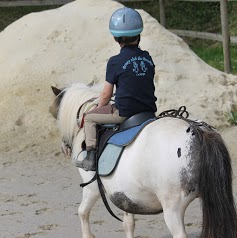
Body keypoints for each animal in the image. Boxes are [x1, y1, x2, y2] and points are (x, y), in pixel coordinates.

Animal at [50, 82, 237, 237]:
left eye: (55, 115)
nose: (64, 147)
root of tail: (198, 130)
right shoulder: (125, 194)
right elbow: (128, 224)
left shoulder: (93, 187)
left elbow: (82, 212)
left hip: (173, 209)